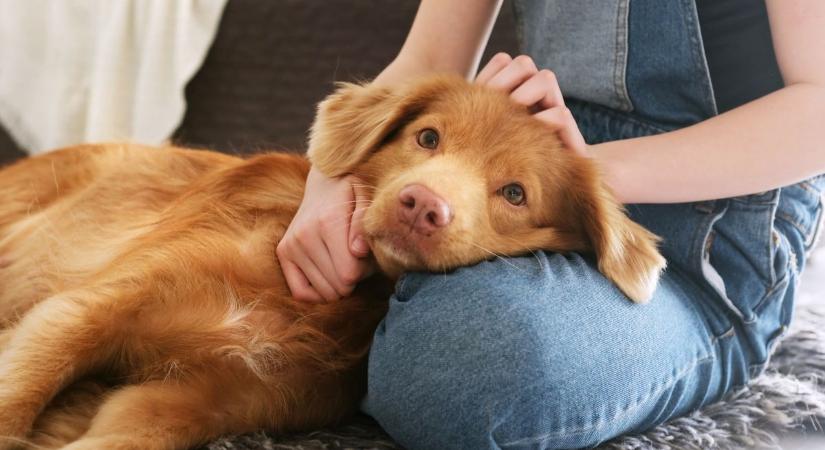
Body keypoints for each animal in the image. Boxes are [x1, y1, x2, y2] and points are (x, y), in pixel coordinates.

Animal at [0, 75, 664, 448]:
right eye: (427, 138)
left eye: (515, 194)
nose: (422, 206)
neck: (309, 301)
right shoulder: (83, 311)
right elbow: (17, 402)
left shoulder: (193, 403)